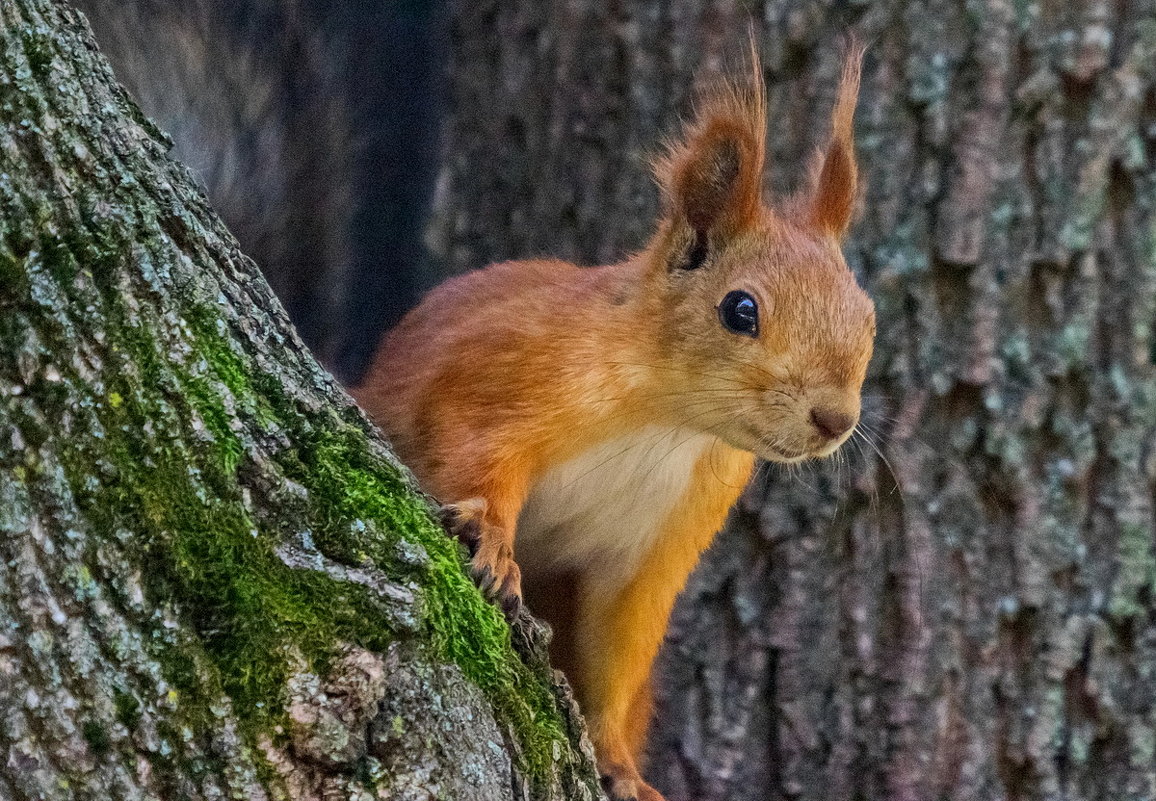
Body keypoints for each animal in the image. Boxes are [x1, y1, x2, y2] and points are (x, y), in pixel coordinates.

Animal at [356, 42, 869, 799]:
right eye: (740, 310)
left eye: (867, 314)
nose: (835, 419)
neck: (667, 424)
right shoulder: (502, 372)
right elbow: (468, 448)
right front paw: (490, 540)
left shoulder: (657, 544)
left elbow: (616, 651)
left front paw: (619, 764)